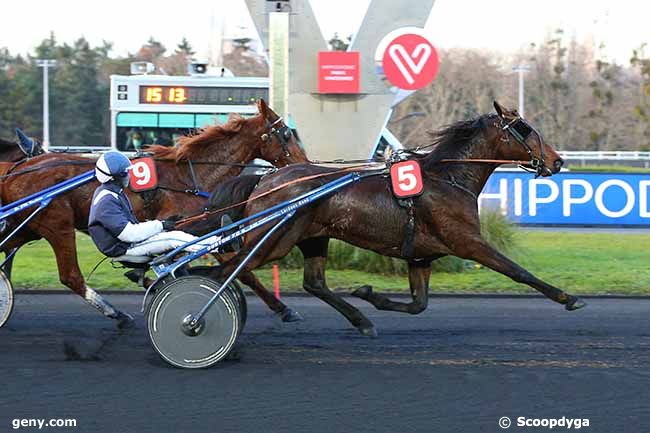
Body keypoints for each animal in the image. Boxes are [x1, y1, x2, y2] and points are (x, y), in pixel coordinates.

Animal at [0, 99, 306, 326]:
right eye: (286, 133)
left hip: (29, 228)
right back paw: (117, 313)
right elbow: (239, 268)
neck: (189, 176)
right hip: (58, 225)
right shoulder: (192, 226)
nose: (304, 163)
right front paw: (283, 308)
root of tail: (16, 171)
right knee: (70, 276)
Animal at [185, 103, 584, 336]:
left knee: (313, 282)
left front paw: (369, 295)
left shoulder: (421, 255)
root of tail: (263, 179)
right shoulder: (467, 242)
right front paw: (567, 297)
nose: (557, 161)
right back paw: (195, 317)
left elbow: (418, 304)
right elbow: (517, 271)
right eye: (524, 129)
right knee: (223, 271)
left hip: (312, 236)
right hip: (273, 241)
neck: (448, 179)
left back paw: (360, 320)